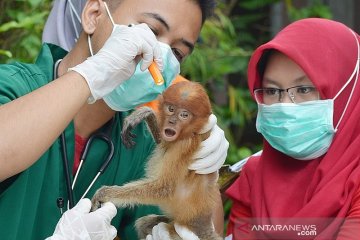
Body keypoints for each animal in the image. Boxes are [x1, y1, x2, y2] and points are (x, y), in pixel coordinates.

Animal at [91, 81, 221, 239]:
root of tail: (203, 226)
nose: (172, 121)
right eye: (171, 109)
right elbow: (161, 142)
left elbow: (163, 188)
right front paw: (146, 114)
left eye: (184, 115)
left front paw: (105, 193)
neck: (191, 132)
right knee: (143, 224)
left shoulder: (183, 145)